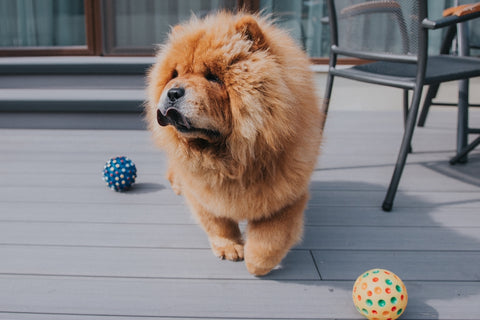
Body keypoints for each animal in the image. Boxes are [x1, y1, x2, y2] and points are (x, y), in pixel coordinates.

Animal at [144, 11, 320, 276]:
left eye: (213, 77)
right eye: (174, 74)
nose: (173, 92)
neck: (231, 160)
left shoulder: (287, 195)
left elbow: (271, 237)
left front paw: (256, 263)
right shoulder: (202, 192)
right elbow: (217, 221)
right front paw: (229, 247)